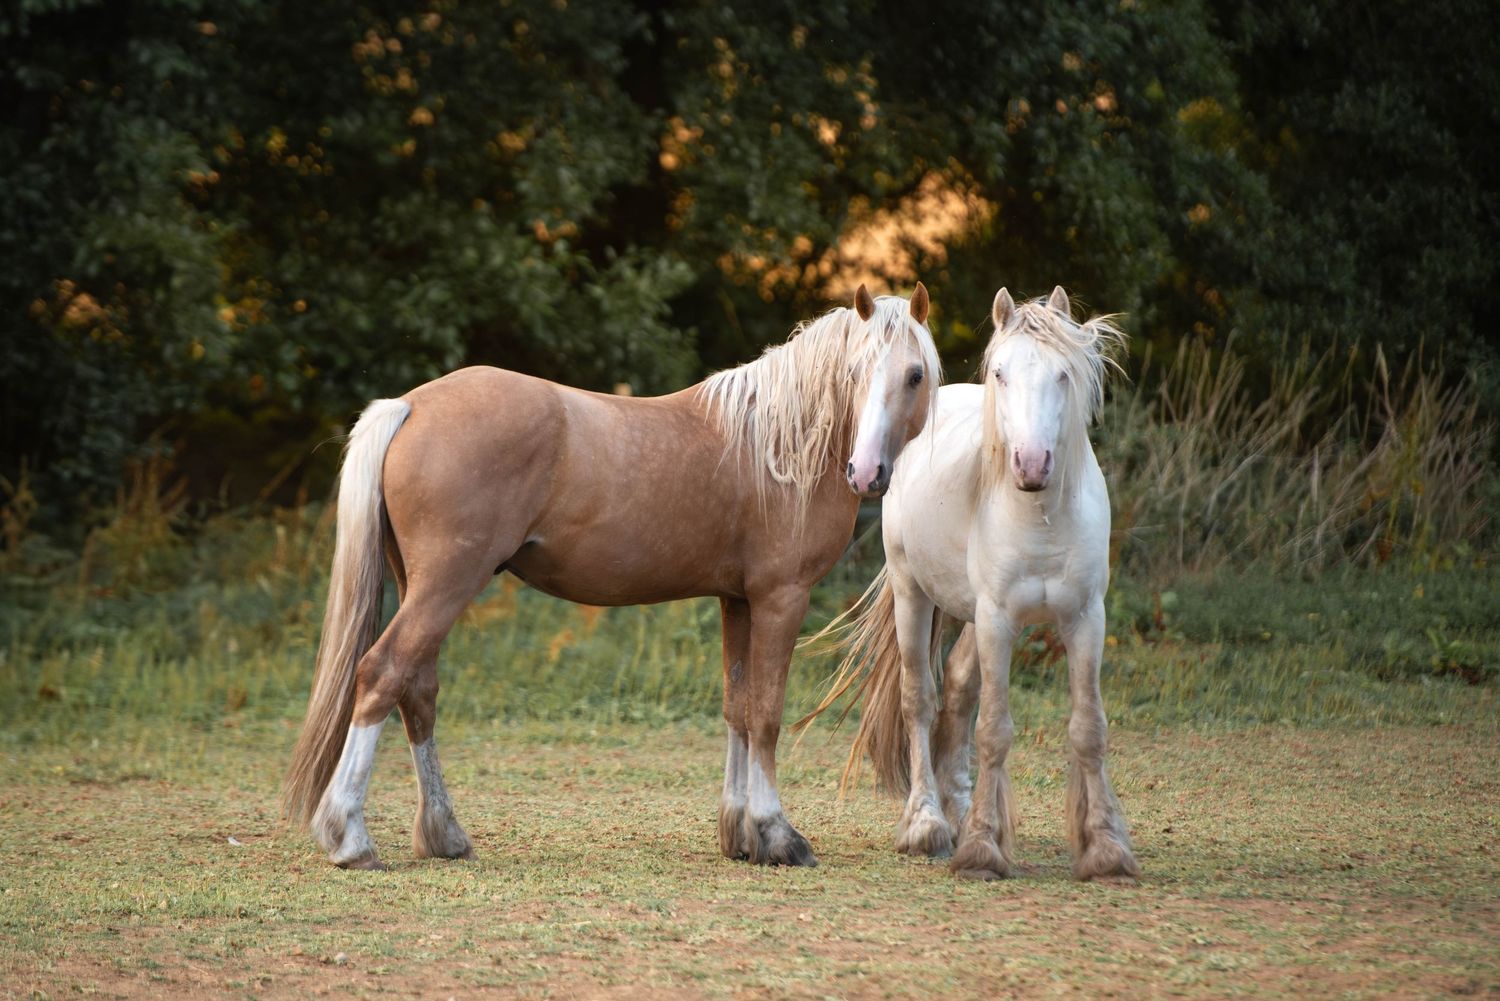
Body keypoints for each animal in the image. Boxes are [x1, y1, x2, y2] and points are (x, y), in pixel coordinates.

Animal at [281, 283, 941, 870]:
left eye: (914, 375)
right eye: (855, 371)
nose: (866, 472)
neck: (777, 443)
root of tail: (411, 405)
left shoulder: (737, 600)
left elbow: (737, 708)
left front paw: (739, 835)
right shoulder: (781, 598)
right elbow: (766, 713)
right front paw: (777, 835)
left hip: (423, 587)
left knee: (416, 690)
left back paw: (443, 834)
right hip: (446, 584)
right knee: (382, 673)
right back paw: (349, 836)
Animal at [800, 286, 1138, 882]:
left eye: (1063, 374)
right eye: (1000, 373)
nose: (1032, 463)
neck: (1040, 517)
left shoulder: (1084, 619)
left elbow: (1089, 728)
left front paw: (1105, 849)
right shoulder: (999, 619)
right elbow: (994, 730)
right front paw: (983, 848)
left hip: (972, 616)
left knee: (958, 690)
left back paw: (959, 809)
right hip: (915, 596)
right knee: (921, 699)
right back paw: (928, 824)